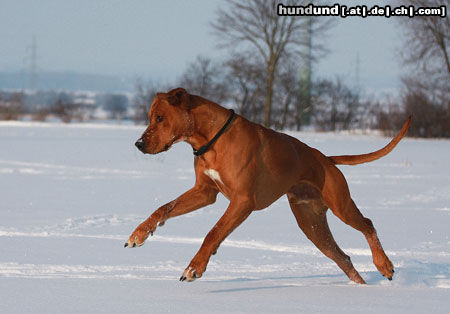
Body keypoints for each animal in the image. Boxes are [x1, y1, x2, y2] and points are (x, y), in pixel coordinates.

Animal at [125, 87, 410, 284]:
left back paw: (384, 264)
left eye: (159, 117)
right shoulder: (205, 192)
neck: (212, 139)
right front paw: (139, 233)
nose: (138, 144)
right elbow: (164, 208)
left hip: (341, 204)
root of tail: (326, 159)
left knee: (368, 225)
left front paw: (194, 268)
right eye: (150, 117)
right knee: (344, 258)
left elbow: (213, 233)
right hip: (312, 226)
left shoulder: (242, 201)